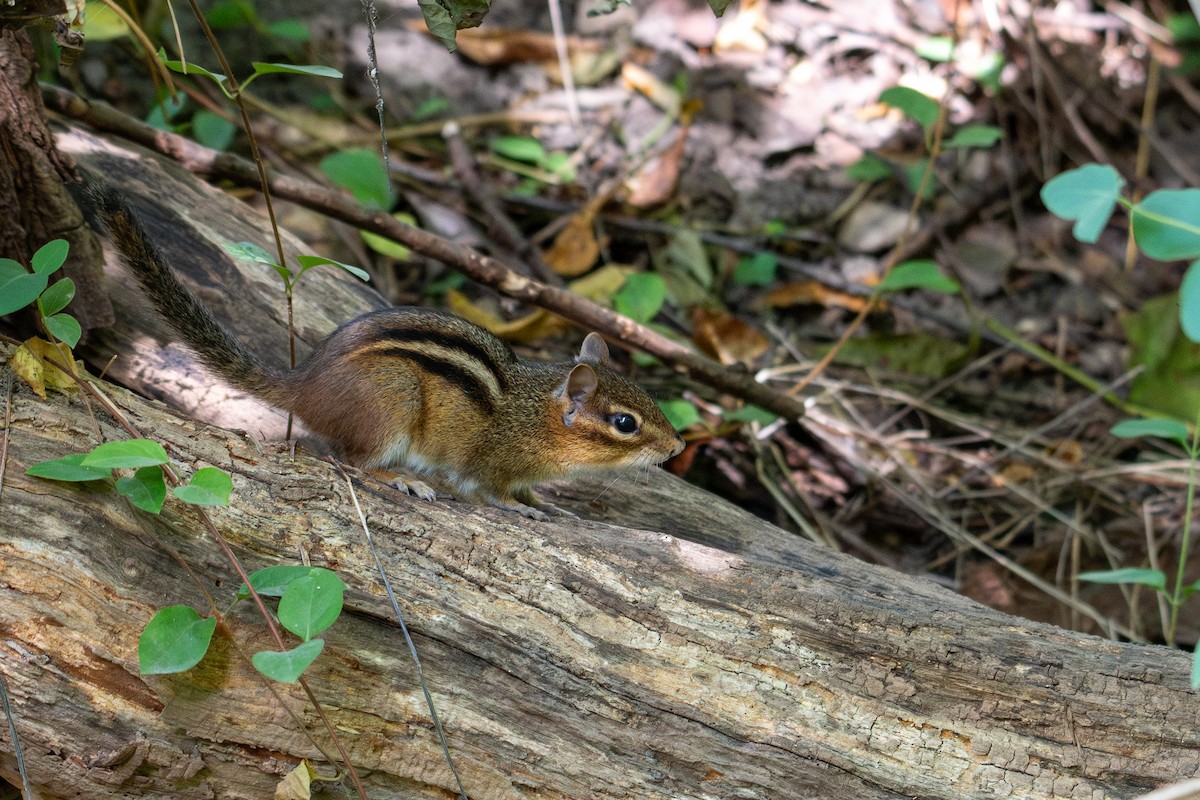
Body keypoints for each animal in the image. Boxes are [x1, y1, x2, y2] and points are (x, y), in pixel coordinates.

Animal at [88, 186, 685, 519]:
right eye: (626, 423)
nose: (678, 447)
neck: (535, 416)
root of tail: (305, 383)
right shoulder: (488, 465)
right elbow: (489, 493)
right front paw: (524, 509)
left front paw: (546, 504)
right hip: (390, 407)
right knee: (350, 462)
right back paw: (402, 479)